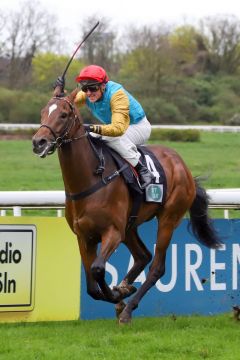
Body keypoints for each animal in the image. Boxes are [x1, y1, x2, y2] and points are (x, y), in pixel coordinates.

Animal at [31, 86, 221, 324]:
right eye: (42, 112)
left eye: (63, 115)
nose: (38, 142)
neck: (91, 177)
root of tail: (183, 167)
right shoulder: (84, 236)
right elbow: (92, 286)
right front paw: (120, 292)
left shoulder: (112, 231)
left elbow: (98, 269)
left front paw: (118, 295)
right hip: (130, 225)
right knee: (143, 256)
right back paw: (125, 291)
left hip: (168, 218)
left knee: (156, 267)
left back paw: (128, 308)